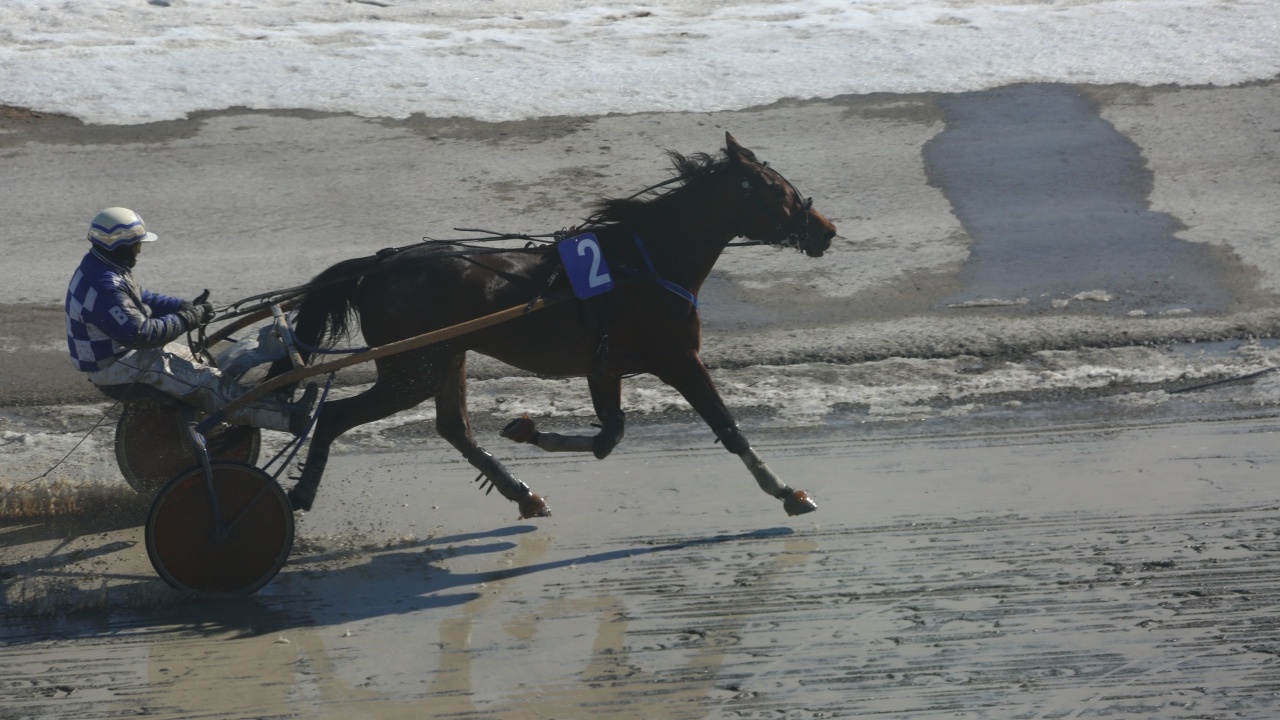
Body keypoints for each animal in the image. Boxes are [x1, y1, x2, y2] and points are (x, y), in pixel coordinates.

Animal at [276, 133, 838, 519]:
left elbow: (609, 436)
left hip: (444, 357)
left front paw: (527, 430)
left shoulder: (604, 366)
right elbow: (727, 428)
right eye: (779, 190)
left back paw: (523, 494)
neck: (644, 262)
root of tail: (377, 267)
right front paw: (787, 492)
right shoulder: (678, 358)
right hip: (411, 368)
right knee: (334, 417)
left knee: (454, 428)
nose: (827, 230)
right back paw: (301, 492)